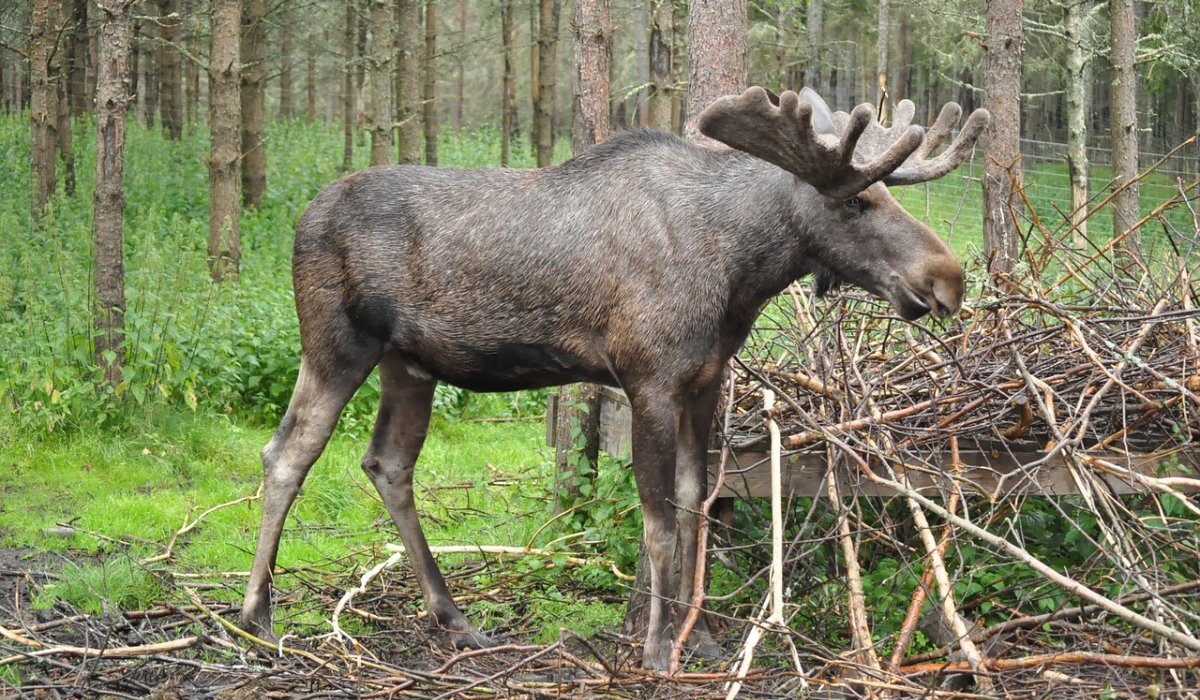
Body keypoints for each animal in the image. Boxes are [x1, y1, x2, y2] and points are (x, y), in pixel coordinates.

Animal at [238, 87, 988, 672]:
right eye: (857, 203)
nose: (947, 279)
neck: (740, 273)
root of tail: (302, 218)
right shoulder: (647, 377)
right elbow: (657, 520)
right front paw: (656, 648)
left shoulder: (704, 380)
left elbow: (695, 502)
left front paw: (703, 637)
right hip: (336, 344)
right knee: (287, 454)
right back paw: (257, 617)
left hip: (409, 364)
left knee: (387, 463)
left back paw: (454, 617)